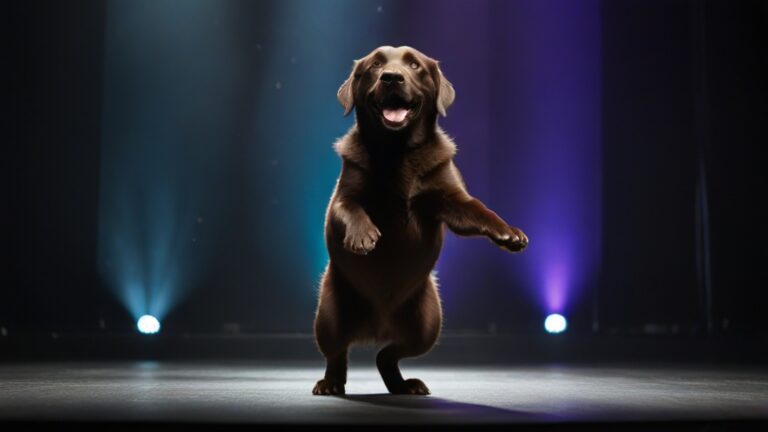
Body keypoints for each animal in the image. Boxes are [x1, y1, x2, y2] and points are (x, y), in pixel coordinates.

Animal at [312, 46, 528, 394]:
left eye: (415, 65)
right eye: (375, 65)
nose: (391, 77)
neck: (397, 151)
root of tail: (378, 327)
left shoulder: (451, 199)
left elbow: (478, 209)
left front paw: (508, 233)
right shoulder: (342, 197)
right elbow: (350, 209)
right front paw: (363, 235)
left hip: (428, 326)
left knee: (387, 355)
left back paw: (404, 384)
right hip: (329, 317)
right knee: (337, 354)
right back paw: (331, 383)